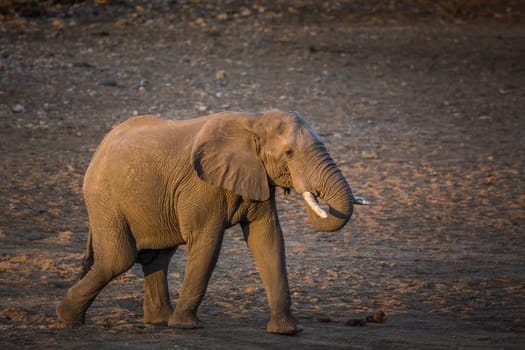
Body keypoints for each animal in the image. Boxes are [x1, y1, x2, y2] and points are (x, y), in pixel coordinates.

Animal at [54, 108, 364, 334]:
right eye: (289, 153)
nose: (316, 195)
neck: (254, 121)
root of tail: (100, 147)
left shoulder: (257, 177)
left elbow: (268, 240)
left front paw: (287, 331)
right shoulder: (201, 186)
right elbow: (208, 241)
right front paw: (187, 327)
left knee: (157, 258)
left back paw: (160, 320)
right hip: (103, 196)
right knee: (119, 258)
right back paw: (66, 318)